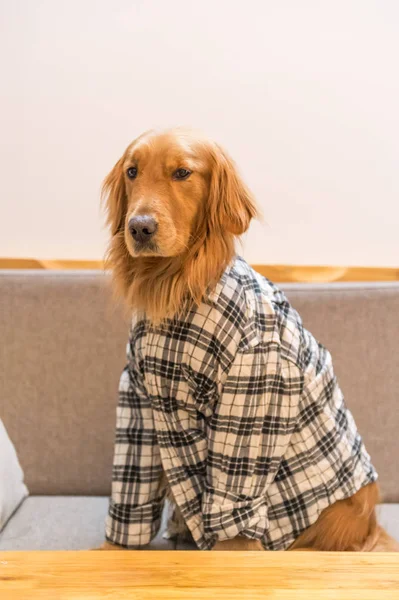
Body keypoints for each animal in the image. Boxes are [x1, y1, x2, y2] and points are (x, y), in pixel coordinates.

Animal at [98, 129, 398, 552]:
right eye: (132, 171)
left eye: (182, 172)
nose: (139, 227)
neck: (179, 288)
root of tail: (370, 525)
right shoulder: (138, 398)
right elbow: (132, 488)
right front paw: (113, 551)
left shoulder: (254, 394)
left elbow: (233, 518)